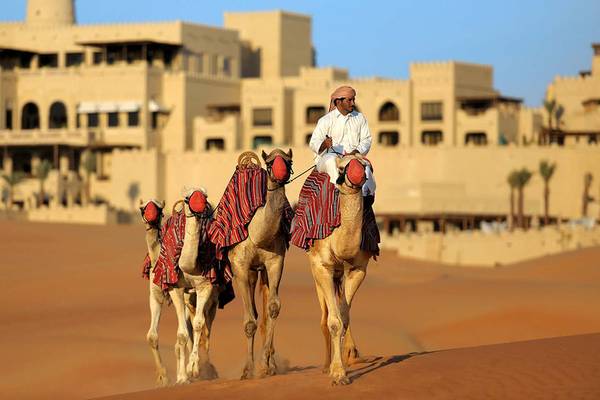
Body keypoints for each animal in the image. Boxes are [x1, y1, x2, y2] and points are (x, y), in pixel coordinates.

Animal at [141, 191, 223, 388]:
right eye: (142, 208)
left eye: (159, 208)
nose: (151, 218)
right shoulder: (156, 294)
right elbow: (153, 336)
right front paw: (166, 377)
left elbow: (197, 328)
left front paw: (190, 371)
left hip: (211, 299)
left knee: (206, 330)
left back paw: (206, 369)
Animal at [221, 148, 294, 380]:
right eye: (270, 162)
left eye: (288, 161)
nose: (281, 173)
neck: (257, 233)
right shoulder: (240, 268)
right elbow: (249, 322)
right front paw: (247, 370)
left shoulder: (275, 262)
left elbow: (273, 309)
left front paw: (266, 365)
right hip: (249, 273)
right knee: (252, 314)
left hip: (261, 272)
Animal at [308, 154, 372, 384]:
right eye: (343, 167)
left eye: (364, 165)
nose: (358, 176)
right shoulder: (322, 267)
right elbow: (334, 322)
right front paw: (336, 373)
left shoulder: (358, 269)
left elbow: (344, 318)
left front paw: (342, 369)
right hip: (316, 274)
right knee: (324, 317)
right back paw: (326, 365)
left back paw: (351, 354)